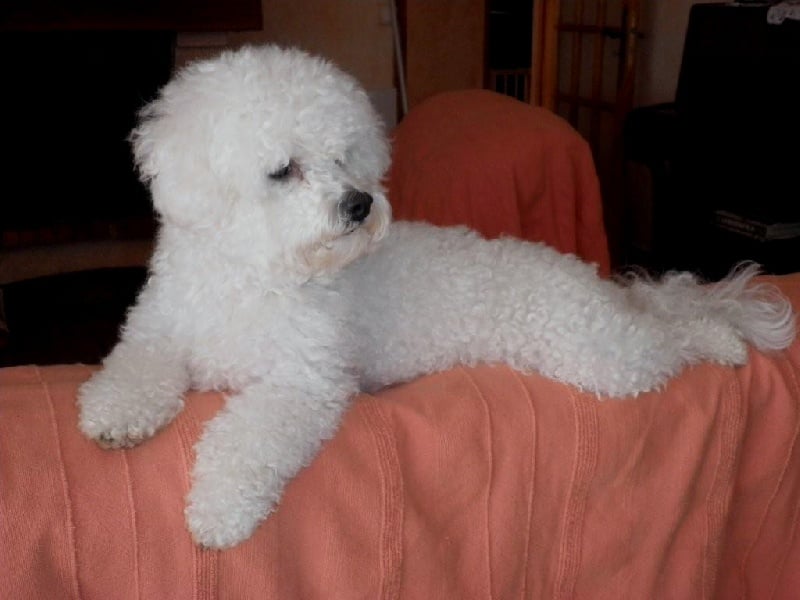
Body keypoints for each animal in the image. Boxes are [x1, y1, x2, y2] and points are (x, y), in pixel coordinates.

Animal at [77, 44, 796, 549]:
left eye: (344, 156)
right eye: (284, 170)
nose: (360, 204)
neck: (258, 273)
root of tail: (594, 281)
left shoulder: (301, 384)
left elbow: (246, 440)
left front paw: (219, 509)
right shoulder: (157, 333)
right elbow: (132, 370)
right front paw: (115, 416)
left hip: (605, 357)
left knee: (675, 334)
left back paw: (723, 340)